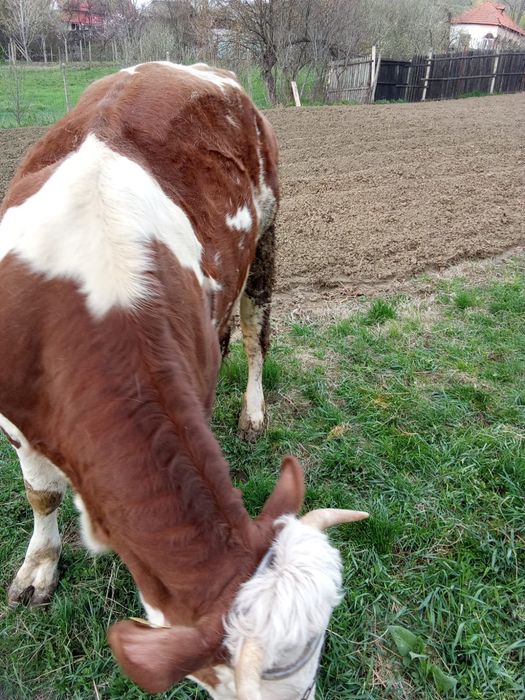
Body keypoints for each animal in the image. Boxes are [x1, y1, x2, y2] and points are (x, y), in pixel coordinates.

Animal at [0, 62, 368, 699]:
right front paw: (39, 568)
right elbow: (41, 492)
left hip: (266, 234)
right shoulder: (15, 415)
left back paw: (251, 414)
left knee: (253, 334)